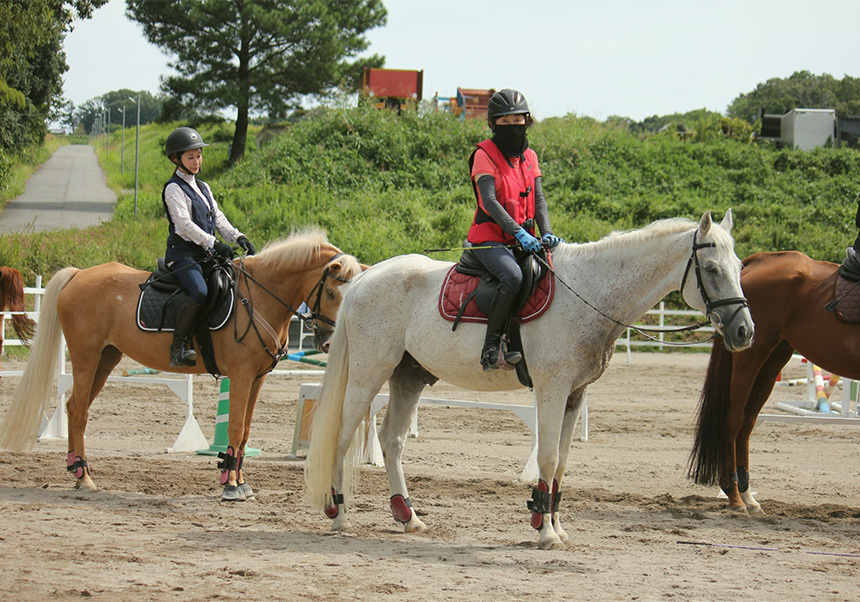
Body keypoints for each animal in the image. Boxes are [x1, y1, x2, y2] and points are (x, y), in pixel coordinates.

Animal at [0, 227, 362, 500]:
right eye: (332, 293)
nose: (329, 343)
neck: (259, 297)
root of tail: (77, 275)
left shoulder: (258, 378)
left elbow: (245, 430)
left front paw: (240, 480)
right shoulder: (241, 375)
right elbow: (234, 427)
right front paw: (230, 485)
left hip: (106, 358)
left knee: (78, 407)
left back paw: (78, 472)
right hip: (86, 357)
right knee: (77, 411)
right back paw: (83, 475)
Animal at [302, 211, 752, 548]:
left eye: (739, 268)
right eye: (711, 269)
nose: (744, 331)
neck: (588, 293)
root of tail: (366, 278)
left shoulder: (575, 395)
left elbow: (563, 462)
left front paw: (553, 523)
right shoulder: (552, 388)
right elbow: (548, 457)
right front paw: (545, 532)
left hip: (409, 377)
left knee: (392, 441)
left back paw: (407, 515)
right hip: (368, 373)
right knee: (343, 436)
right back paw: (338, 514)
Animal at [684, 250, 852, 510]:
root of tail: (758, 261)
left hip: (772, 362)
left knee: (747, 421)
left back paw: (747, 494)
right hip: (751, 356)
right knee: (733, 419)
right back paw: (734, 493)